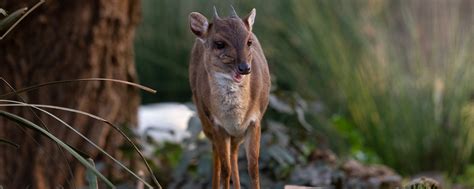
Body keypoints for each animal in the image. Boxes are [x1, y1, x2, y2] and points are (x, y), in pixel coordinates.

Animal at [189, 5, 270, 189]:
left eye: (249, 42)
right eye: (219, 44)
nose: (244, 68)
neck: (235, 118)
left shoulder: (255, 121)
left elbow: (253, 168)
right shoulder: (217, 124)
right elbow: (225, 170)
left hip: (236, 134)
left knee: (233, 153)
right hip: (204, 119)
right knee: (216, 154)